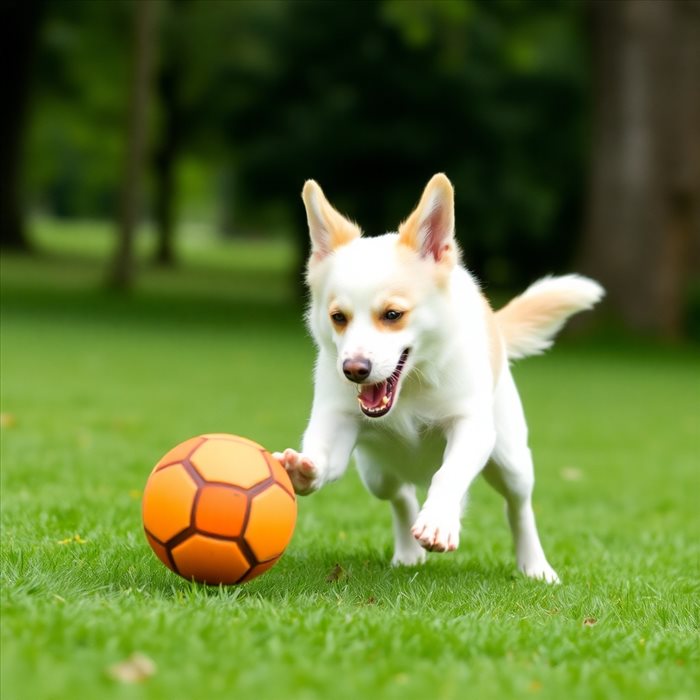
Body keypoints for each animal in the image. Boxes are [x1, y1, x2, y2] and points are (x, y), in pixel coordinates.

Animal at [274, 172, 600, 584]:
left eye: (393, 314)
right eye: (338, 318)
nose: (353, 370)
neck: (411, 387)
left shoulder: (472, 427)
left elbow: (450, 474)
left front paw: (439, 522)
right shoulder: (337, 422)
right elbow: (323, 459)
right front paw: (302, 470)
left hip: (510, 459)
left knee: (518, 507)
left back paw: (534, 566)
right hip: (376, 472)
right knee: (401, 496)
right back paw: (408, 552)